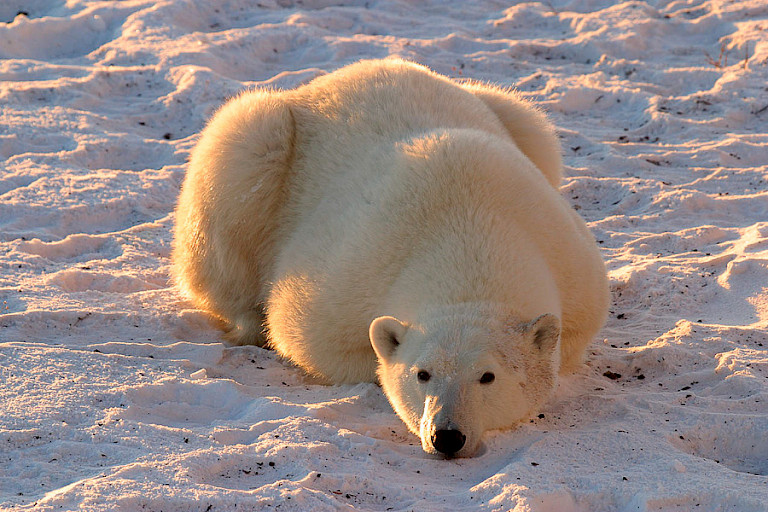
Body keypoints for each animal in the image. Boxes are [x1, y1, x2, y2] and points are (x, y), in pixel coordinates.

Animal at [171, 59, 608, 456]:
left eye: (488, 376)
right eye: (422, 373)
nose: (446, 436)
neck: (470, 233)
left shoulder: (570, 265)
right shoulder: (344, 276)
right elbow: (306, 336)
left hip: (514, 116)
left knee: (533, 125)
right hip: (263, 146)